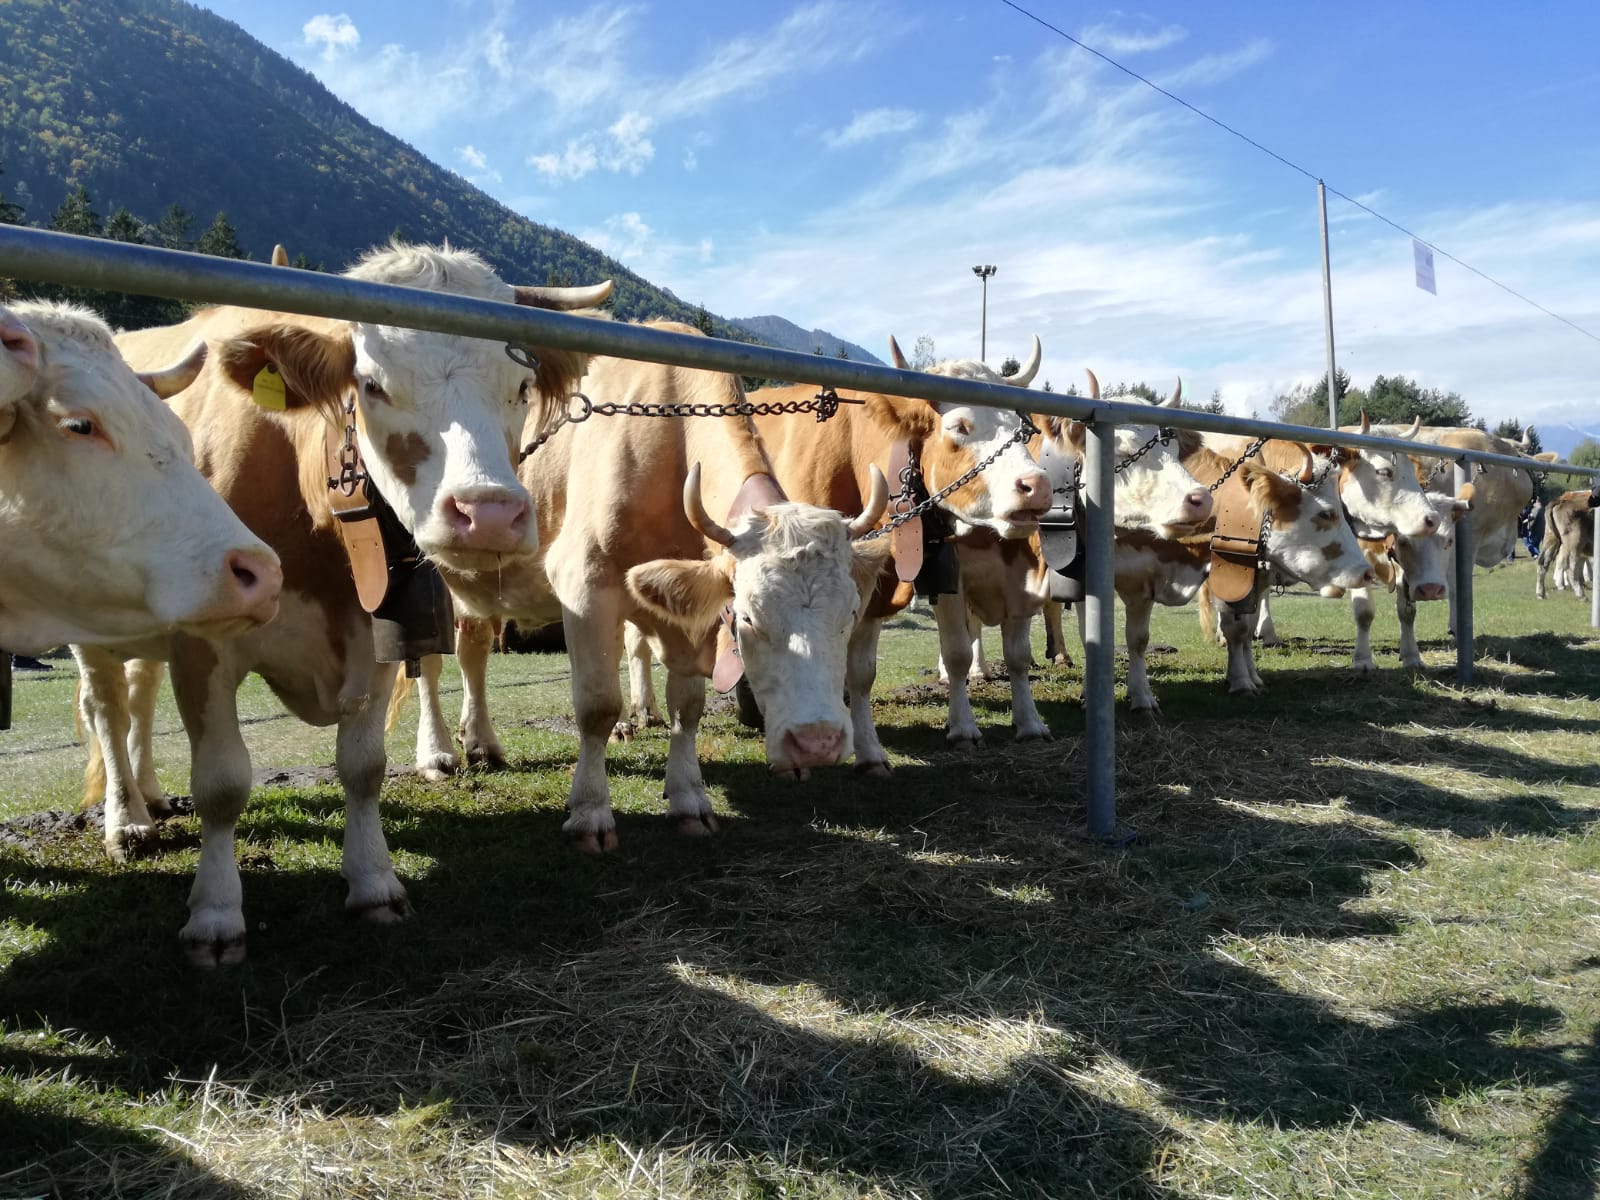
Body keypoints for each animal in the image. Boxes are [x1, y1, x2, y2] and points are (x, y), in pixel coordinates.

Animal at [77, 243, 608, 963]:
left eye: (520, 386)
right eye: (373, 384)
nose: (490, 515)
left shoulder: (373, 637)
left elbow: (363, 767)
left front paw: (374, 883)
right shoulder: (203, 644)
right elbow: (221, 783)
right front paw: (215, 915)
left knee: (138, 698)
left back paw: (151, 797)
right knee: (106, 705)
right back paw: (127, 820)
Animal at [399, 323, 891, 852]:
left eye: (849, 618)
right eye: (748, 617)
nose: (818, 743)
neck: (669, 440)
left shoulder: (687, 610)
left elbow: (689, 707)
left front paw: (690, 799)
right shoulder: (585, 585)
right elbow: (597, 706)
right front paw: (590, 813)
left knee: (472, 653)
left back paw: (482, 743)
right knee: (430, 665)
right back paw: (437, 755)